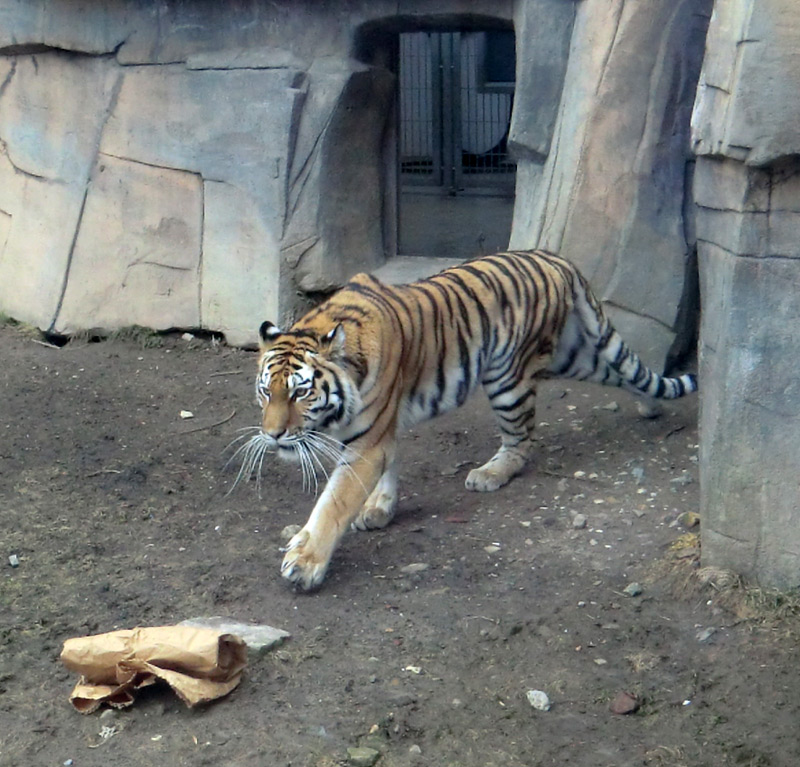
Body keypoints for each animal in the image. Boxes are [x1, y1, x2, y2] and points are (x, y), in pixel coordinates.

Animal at [238, 249, 692, 592]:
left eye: (299, 392)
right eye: (266, 392)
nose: (273, 435)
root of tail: (555, 257)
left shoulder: (369, 440)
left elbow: (333, 503)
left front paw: (305, 562)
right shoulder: (383, 430)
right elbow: (386, 470)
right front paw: (379, 509)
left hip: (508, 377)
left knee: (522, 440)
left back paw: (490, 474)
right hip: (573, 355)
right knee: (622, 371)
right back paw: (652, 408)